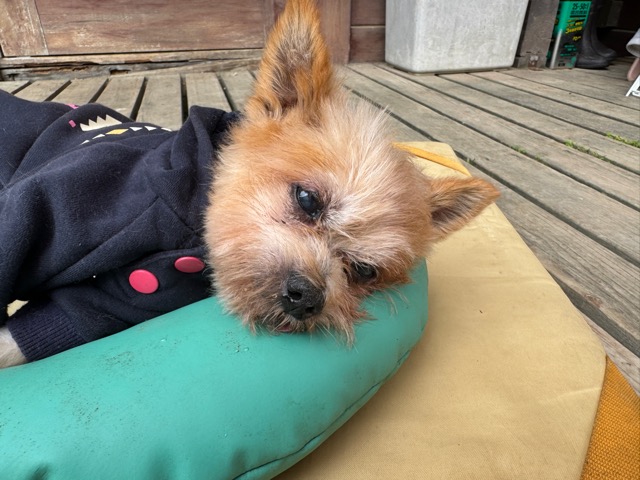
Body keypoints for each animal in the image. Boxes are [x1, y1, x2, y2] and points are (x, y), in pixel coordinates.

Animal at [0, 0, 498, 369]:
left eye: (362, 272)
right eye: (307, 199)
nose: (307, 298)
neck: (190, 204)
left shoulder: (115, 299)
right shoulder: (76, 196)